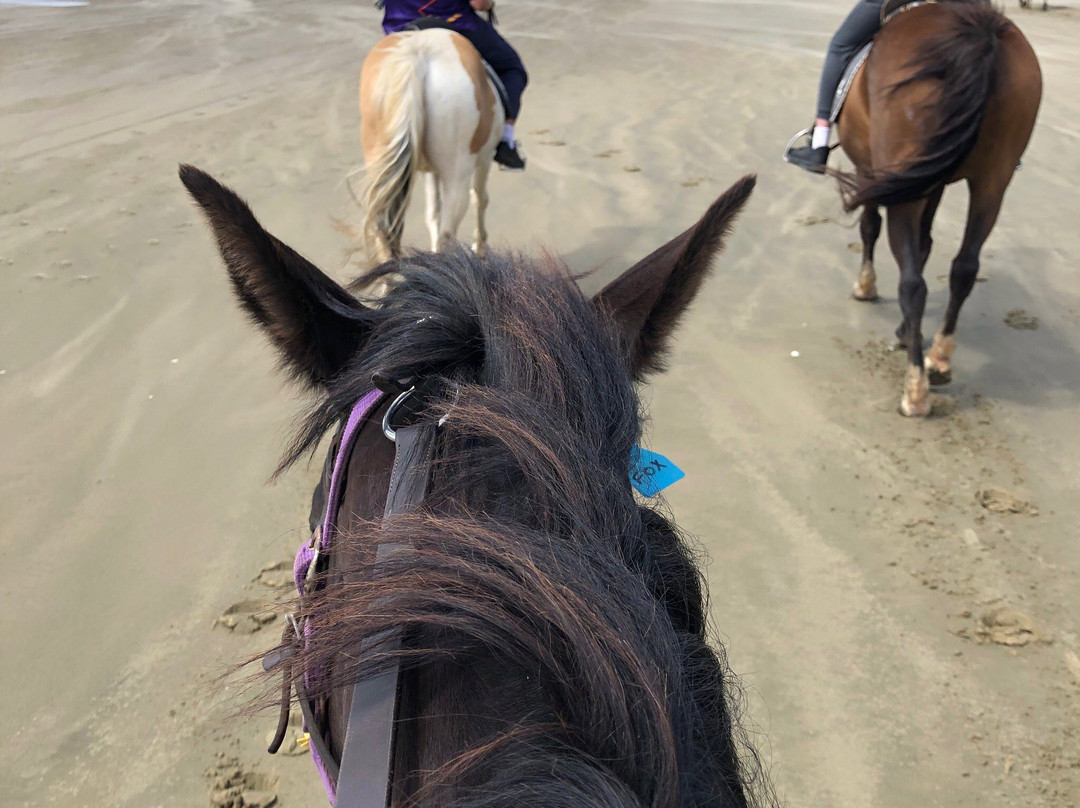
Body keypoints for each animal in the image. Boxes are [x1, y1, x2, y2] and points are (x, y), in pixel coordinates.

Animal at [356, 27, 504, 268]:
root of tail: (416, 56)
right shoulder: (485, 159)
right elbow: (480, 198)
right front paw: (480, 246)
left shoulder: (429, 171)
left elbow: (432, 214)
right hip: (457, 175)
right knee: (448, 234)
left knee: (385, 237)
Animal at [833, 0, 1041, 416]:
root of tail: (980, 31)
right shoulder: (935, 183)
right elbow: (926, 243)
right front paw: (904, 330)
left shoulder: (873, 172)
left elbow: (872, 228)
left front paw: (866, 286)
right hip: (992, 182)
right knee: (964, 268)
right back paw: (939, 358)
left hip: (905, 186)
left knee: (913, 283)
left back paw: (915, 390)